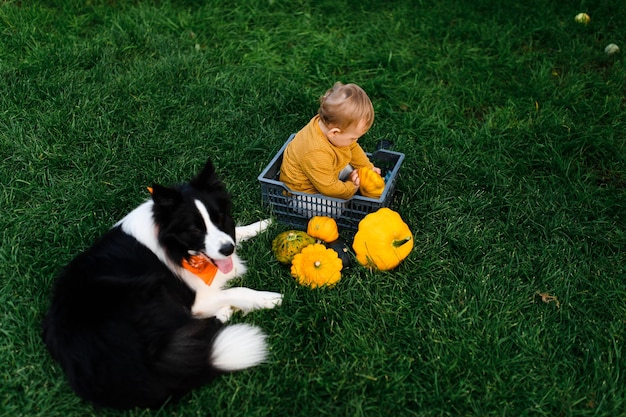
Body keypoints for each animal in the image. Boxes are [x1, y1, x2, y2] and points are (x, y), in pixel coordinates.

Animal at [40, 159, 280, 410]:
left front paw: (263, 224)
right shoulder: (195, 298)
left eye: (218, 218)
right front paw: (267, 298)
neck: (174, 246)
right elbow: (236, 290)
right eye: (195, 229)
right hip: (148, 290)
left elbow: (238, 232)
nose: (227, 250)